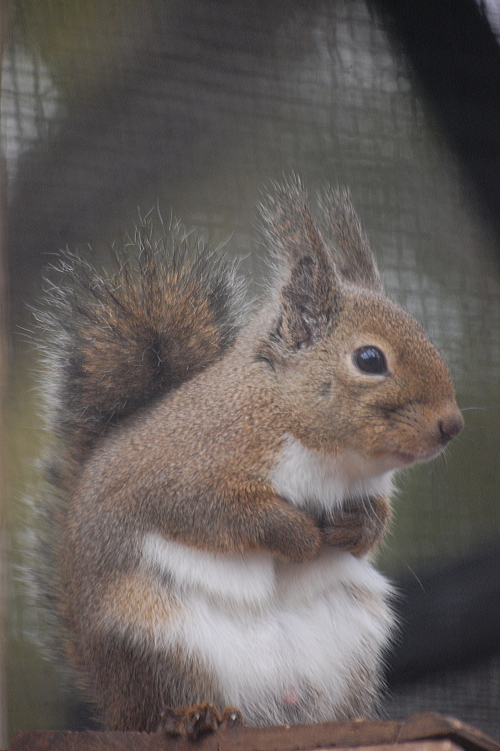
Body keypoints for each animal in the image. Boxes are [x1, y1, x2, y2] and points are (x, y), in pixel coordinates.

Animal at [35, 179, 464, 736]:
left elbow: (376, 522)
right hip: (155, 639)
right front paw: (298, 535)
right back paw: (193, 716)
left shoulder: (367, 486)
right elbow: (216, 512)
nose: (451, 425)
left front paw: (355, 528)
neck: (326, 453)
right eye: (370, 359)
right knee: (160, 706)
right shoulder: (185, 470)